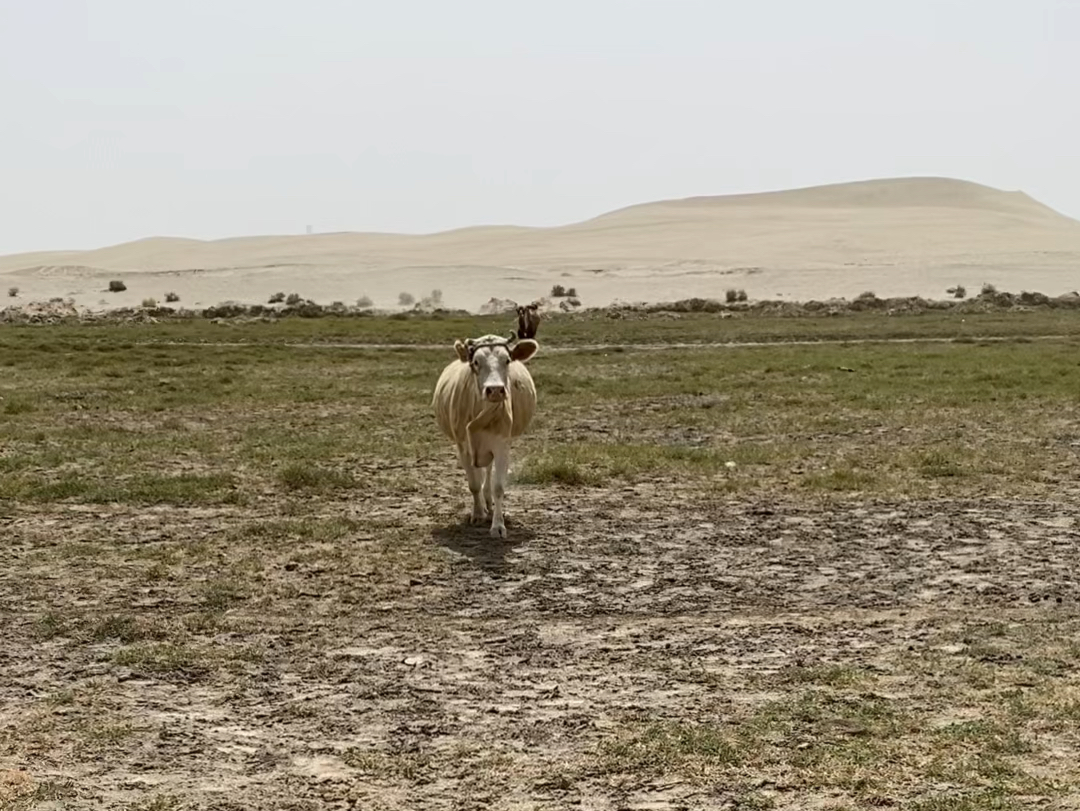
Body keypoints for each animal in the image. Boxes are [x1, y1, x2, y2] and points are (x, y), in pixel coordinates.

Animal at [432, 330, 537, 539]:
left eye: (507, 360)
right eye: (476, 362)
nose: (495, 390)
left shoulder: (502, 445)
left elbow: (498, 487)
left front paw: (498, 525)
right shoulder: (463, 447)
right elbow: (473, 483)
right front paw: (478, 513)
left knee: (487, 472)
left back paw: (489, 502)